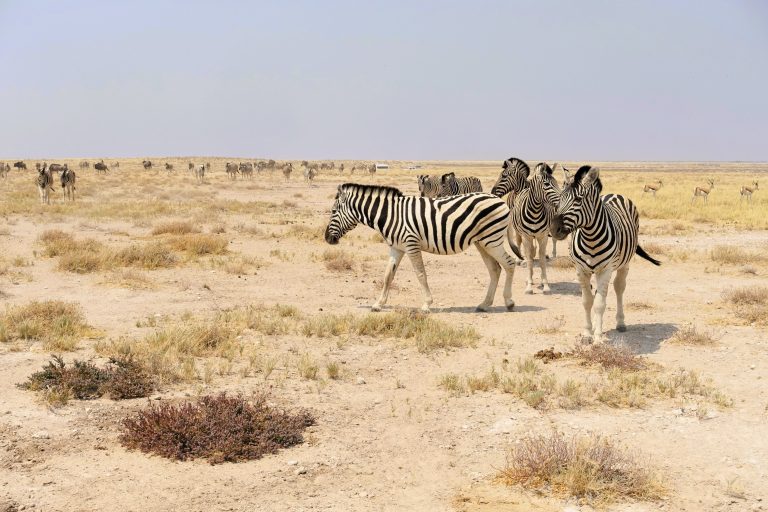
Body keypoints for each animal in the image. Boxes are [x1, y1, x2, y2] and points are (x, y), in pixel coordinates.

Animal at [324, 183, 523, 313]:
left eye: (333, 212)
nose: (326, 238)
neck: (390, 214)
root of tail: (500, 200)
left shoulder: (411, 244)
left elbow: (420, 274)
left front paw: (427, 304)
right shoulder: (396, 247)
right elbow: (388, 275)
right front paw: (378, 304)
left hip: (492, 239)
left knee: (509, 264)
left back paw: (509, 302)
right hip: (482, 242)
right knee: (495, 269)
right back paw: (484, 304)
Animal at [549, 165, 661, 343]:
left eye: (578, 200)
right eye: (559, 198)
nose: (554, 229)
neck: (590, 237)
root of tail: (614, 194)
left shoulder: (606, 269)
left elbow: (600, 304)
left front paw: (597, 338)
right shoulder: (581, 270)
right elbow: (587, 301)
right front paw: (588, 333)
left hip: (624, 264)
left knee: (619, 288)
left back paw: (620, 323)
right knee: (597, 294)